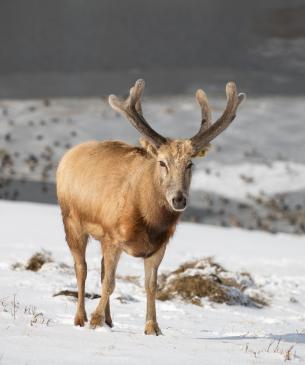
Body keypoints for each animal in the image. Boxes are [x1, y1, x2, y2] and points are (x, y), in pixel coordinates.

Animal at [55, 78, 243, 334]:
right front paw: (94, 321)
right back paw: (80, 317)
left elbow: (150, 285)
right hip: (71, 220)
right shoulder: (112, 235)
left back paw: (109, 320)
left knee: (101, 269)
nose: (179, 199)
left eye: (190, 164)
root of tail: (68, 156)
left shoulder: (158, 245)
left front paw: (153, 327)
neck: (148, 220)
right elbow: (109, 283)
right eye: (162, 162)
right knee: (81, 268)